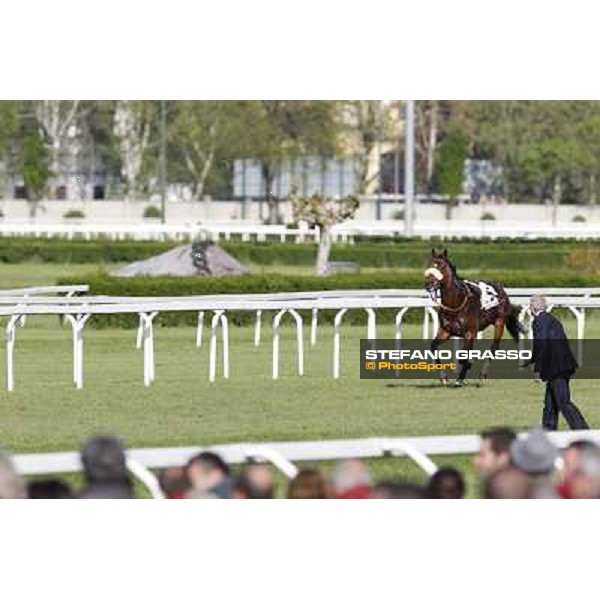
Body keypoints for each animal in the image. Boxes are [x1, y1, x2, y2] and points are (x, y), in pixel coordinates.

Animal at [424, 247, 524, 384]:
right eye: (429, 265)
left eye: (442, 266)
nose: (429, 284)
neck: (457, 302)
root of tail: (501, 289)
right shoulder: (446, 331)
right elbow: (433, 347)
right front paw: (444, 377)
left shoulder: (470, 332)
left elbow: (463, 357)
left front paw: (462, 376)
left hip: (499, 322)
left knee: (494, 347)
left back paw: (483, 375)